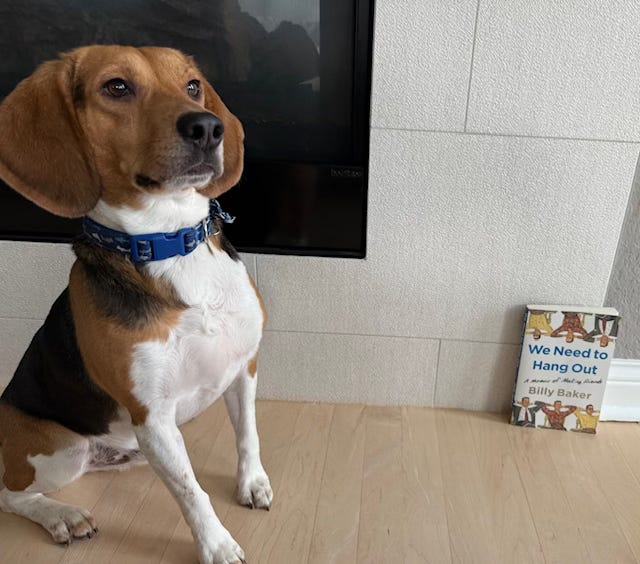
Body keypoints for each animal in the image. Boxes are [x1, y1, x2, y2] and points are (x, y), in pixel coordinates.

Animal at [0, 45, 270, 564]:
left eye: (192, 86)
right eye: (117, 87)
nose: (208, 127)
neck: (171, 243)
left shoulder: (243, 367)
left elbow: (248, 435)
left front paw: (252, 483)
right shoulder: (153, 414)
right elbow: (190, 491)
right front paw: (217, 545)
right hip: (61, 450)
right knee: (11, 494)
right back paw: (62, 516)